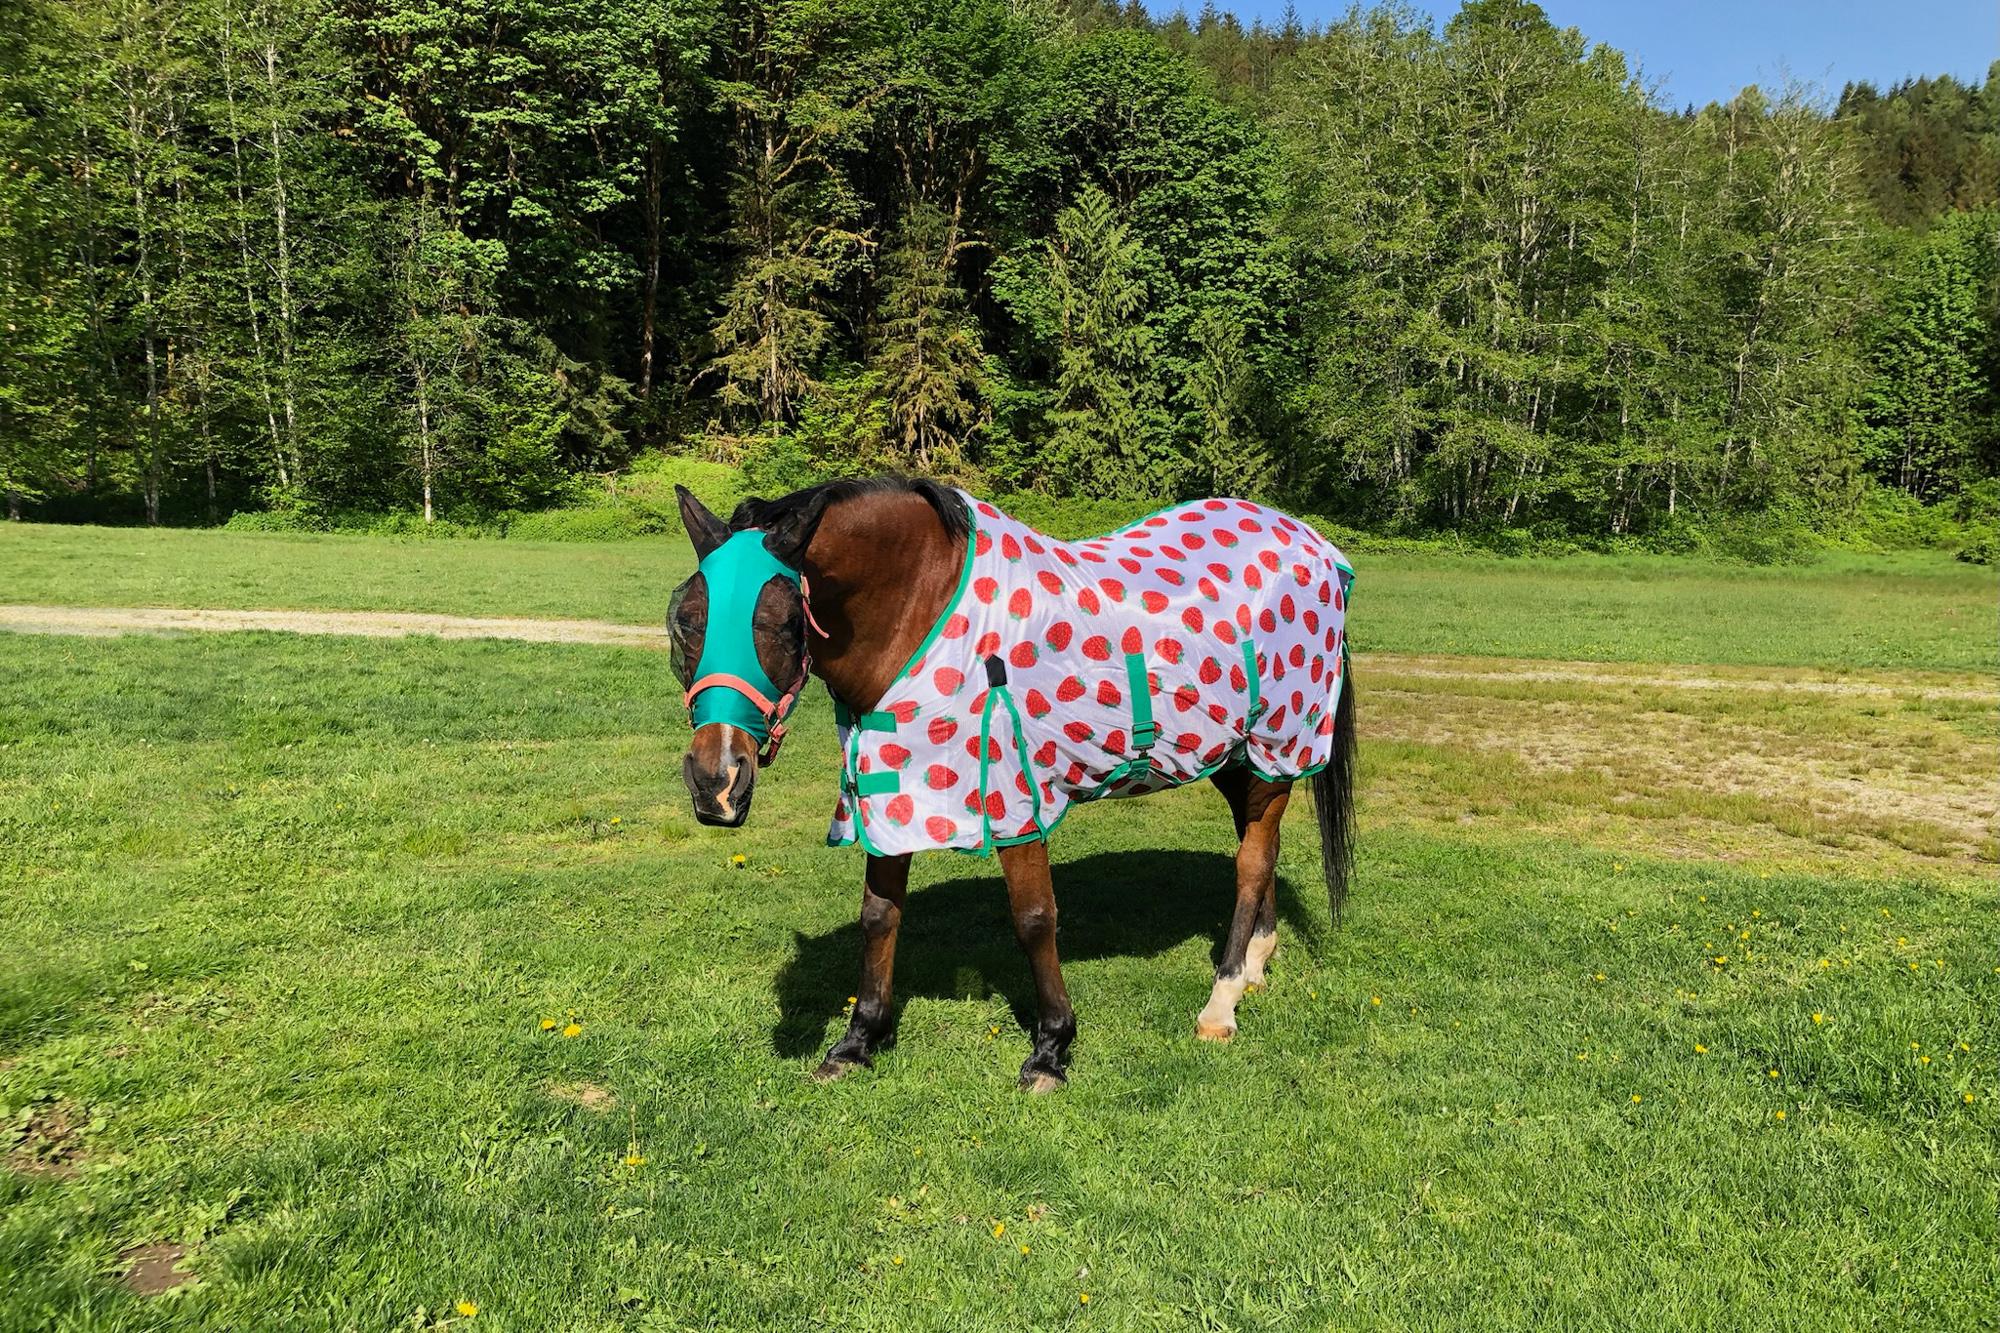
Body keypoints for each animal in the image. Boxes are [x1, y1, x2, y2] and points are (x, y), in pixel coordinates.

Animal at [664, 480, 1352, 1088]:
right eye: (685, 621)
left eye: (785, 623)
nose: (716, 782)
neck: (923, 610)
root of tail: (1317, 545)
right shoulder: (890, 789)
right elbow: (879, 916)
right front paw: (859, 1042)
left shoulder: (1016, 796)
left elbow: (1034, 918)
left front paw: (1051, 1050)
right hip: (1236, 758)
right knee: (1259, 850)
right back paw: (1256, 964)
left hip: (1275, 747)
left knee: (1251, 862)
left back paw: (1223, 1000)